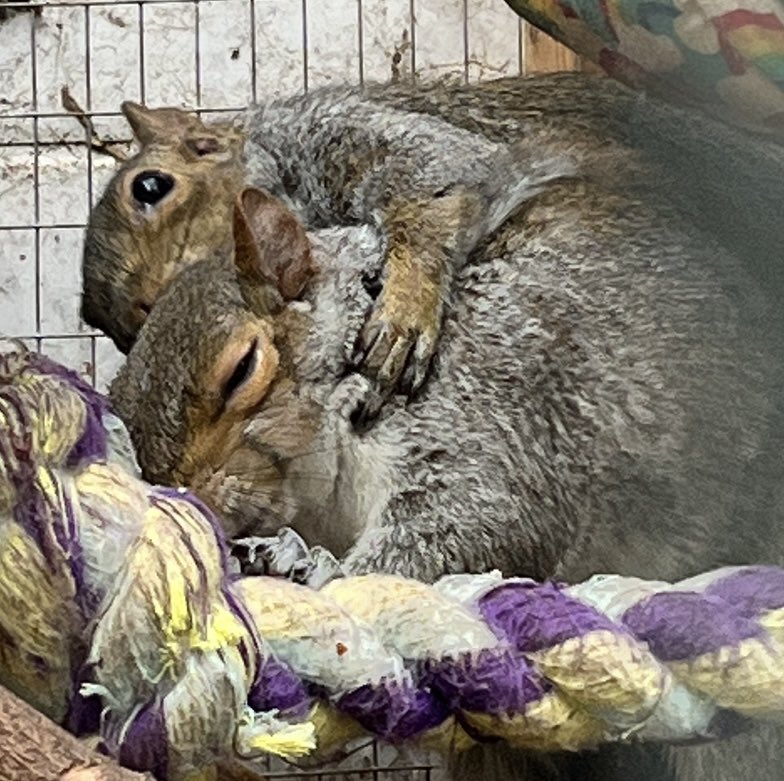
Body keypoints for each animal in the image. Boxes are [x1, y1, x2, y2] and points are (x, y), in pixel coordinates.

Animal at [107, 71, 784, 780]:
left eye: (241, 369)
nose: (193, 504)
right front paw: (280, 555)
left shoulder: (490, 409)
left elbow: (467, 527)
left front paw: (324, 573)